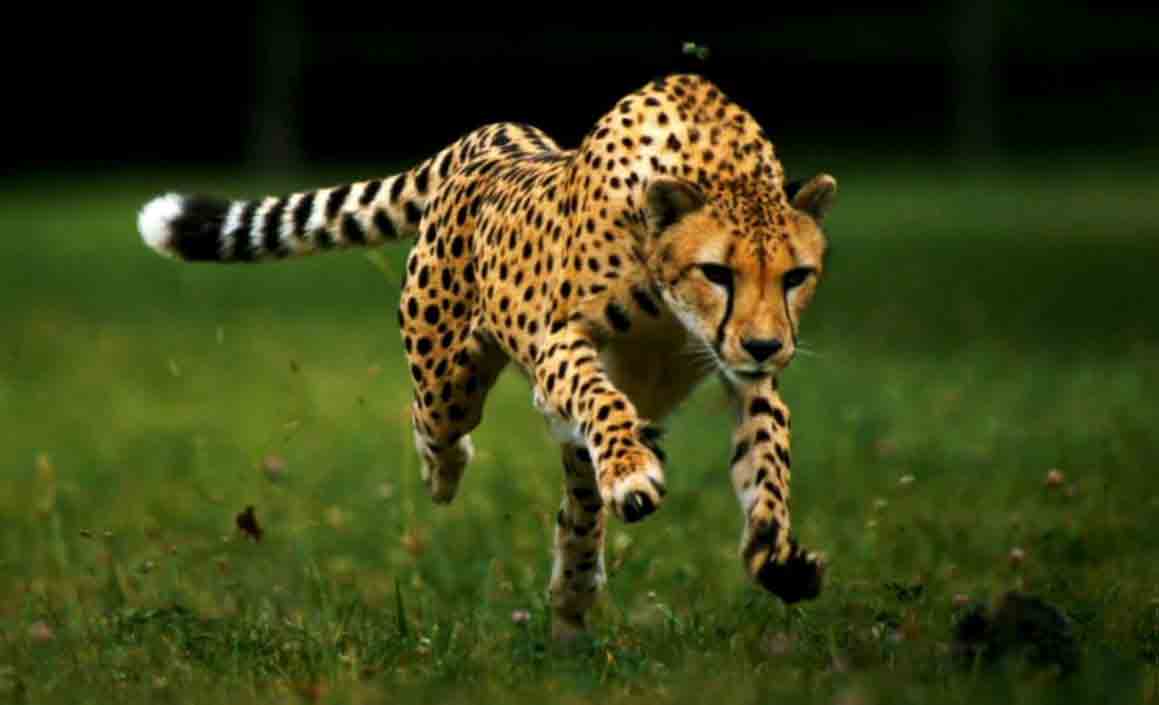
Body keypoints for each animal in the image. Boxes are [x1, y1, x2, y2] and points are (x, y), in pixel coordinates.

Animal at [137, 73, 837, 639]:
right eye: (716, 272)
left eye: (796, 277)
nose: (765, 344)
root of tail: (493, 136)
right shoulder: (561, 343)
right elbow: (602, 402)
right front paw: (632, 469)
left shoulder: (747, 378)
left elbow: (766, 459)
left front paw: (777, 556)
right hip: (446, 377)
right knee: (440, 425)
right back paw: (453, 474)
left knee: (578, 505)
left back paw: (574, 592)